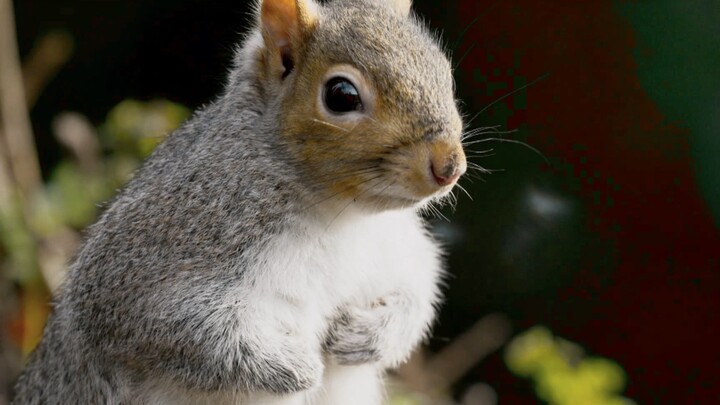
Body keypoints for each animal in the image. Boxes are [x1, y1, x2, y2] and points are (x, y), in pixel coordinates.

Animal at [12, 0, 466, 403]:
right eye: (341, 95)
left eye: (443, 72)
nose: (449, 165)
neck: (343, 215)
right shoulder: (150, 255)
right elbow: (170, 330)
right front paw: (295, 368)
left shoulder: (396, 249)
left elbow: (417, 288)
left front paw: (368, 336)